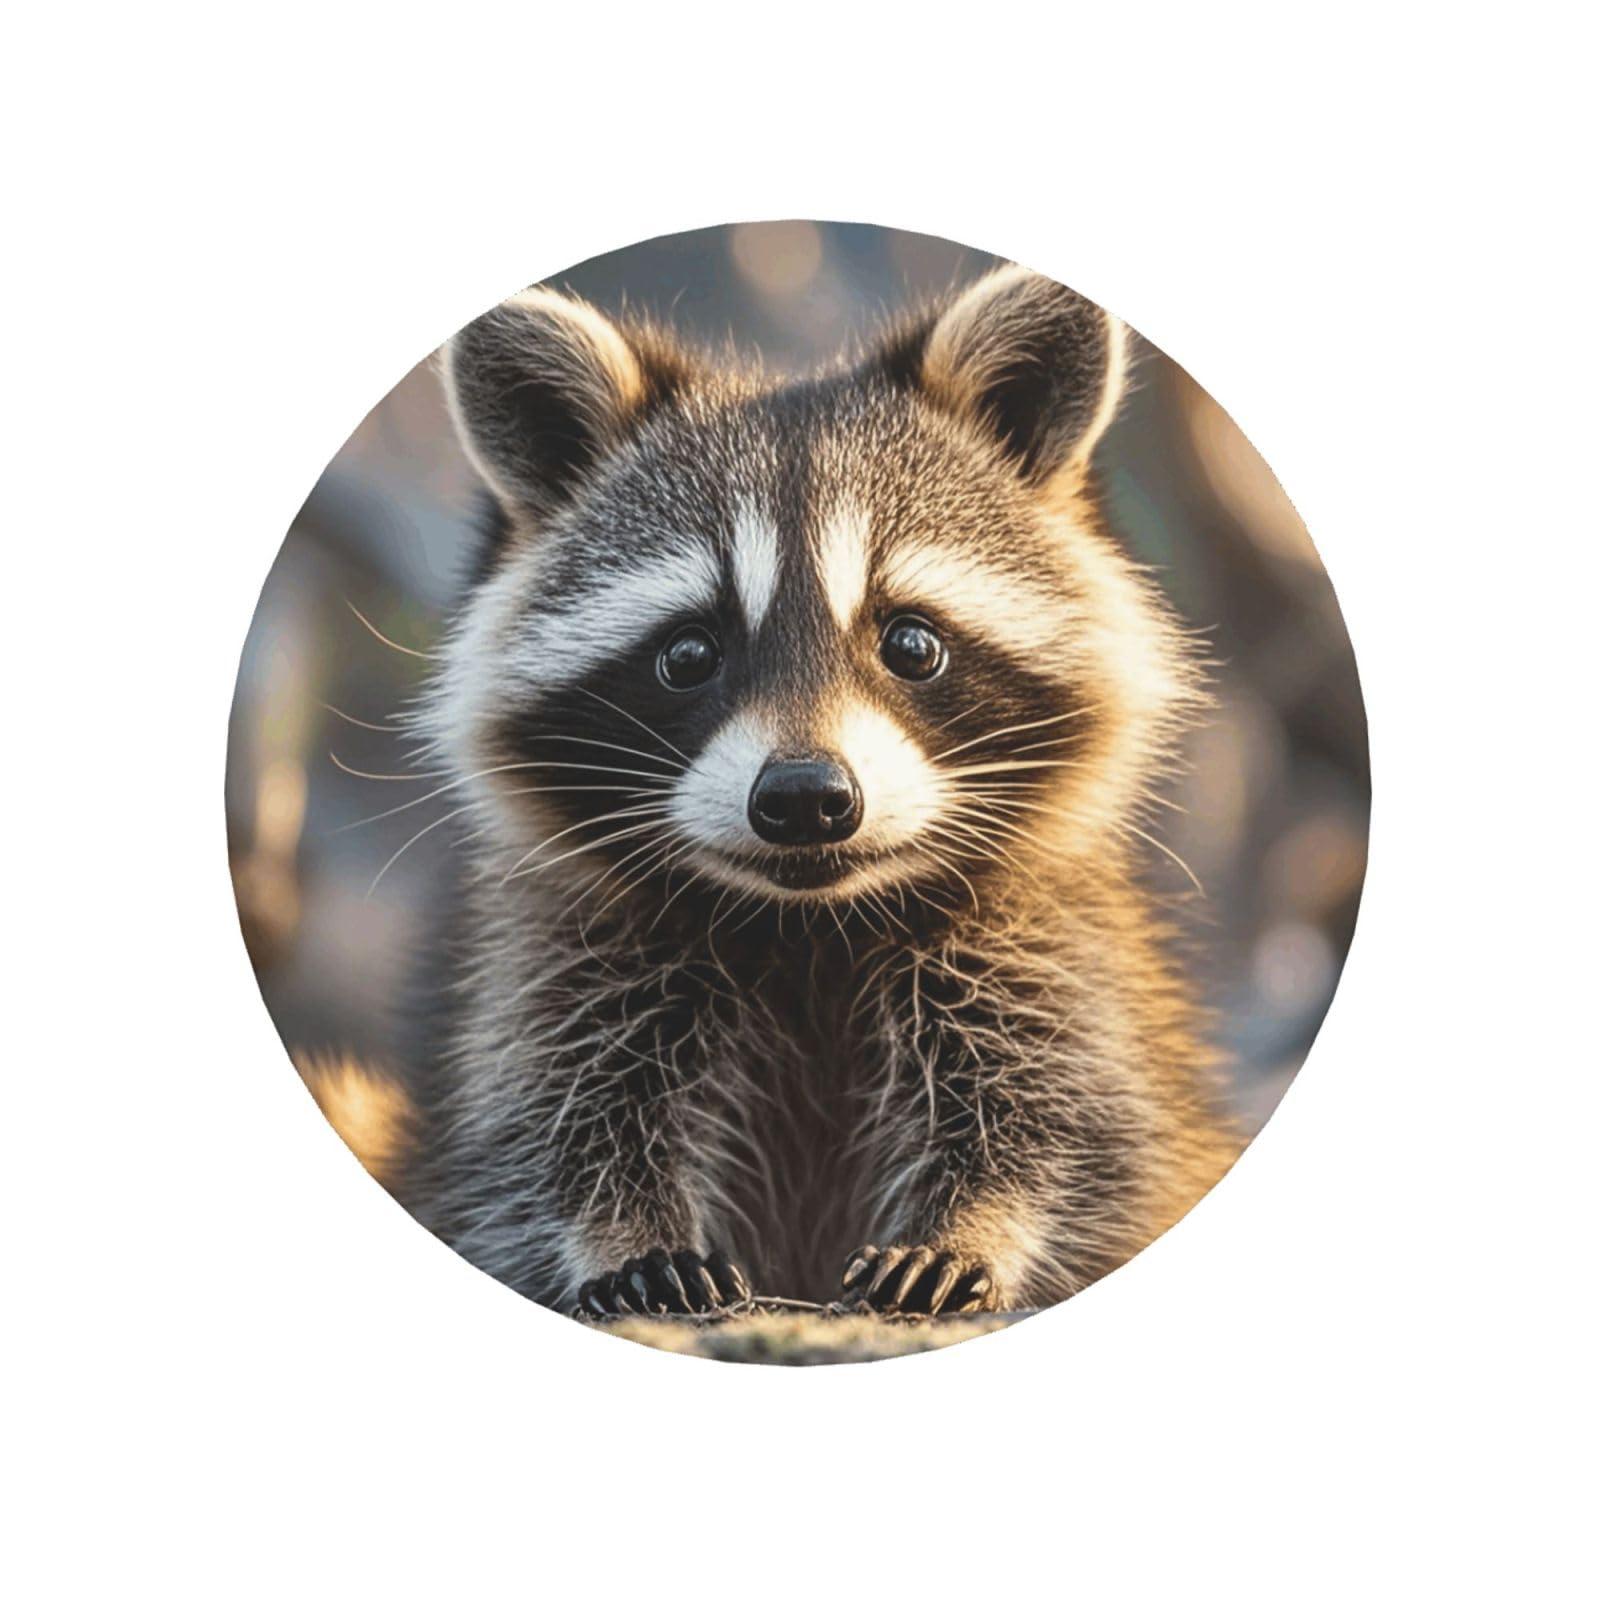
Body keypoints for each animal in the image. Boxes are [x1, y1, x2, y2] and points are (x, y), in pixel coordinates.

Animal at [397, 263, 1240, 1317]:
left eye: (911, 642)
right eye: (689, 654)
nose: (804, 797)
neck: (811, 926)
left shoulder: (1045, 946)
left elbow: (1063, 1125)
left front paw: (973, 1226)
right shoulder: (569, 956)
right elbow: (555, 1125)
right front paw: (624, 1232)